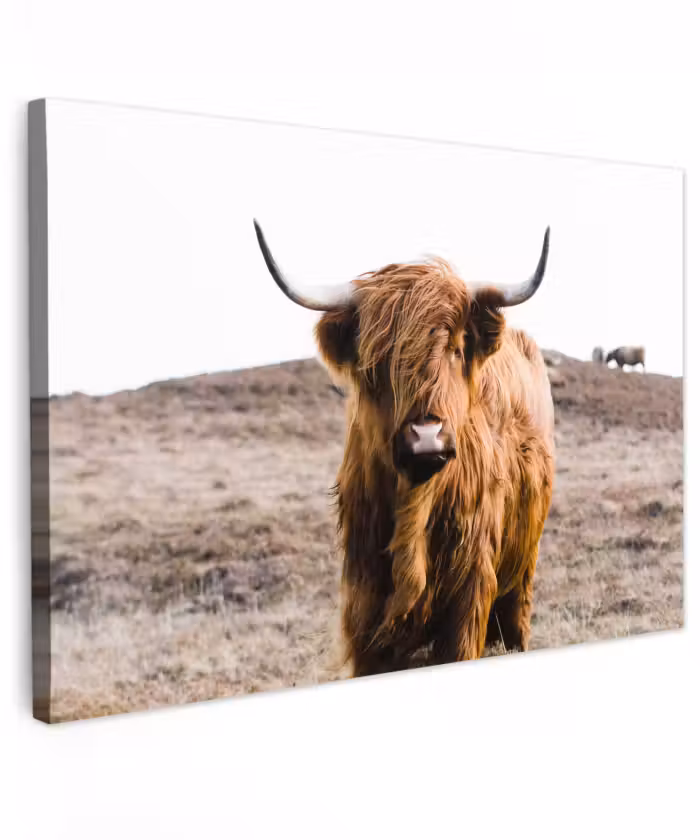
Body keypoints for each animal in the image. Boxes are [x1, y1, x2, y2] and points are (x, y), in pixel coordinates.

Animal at [253, 220, 555, 676]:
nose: (426, 436)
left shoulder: (469, 597)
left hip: (522, 570)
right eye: (377, 361)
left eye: (455, 349)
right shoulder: (364, 604)